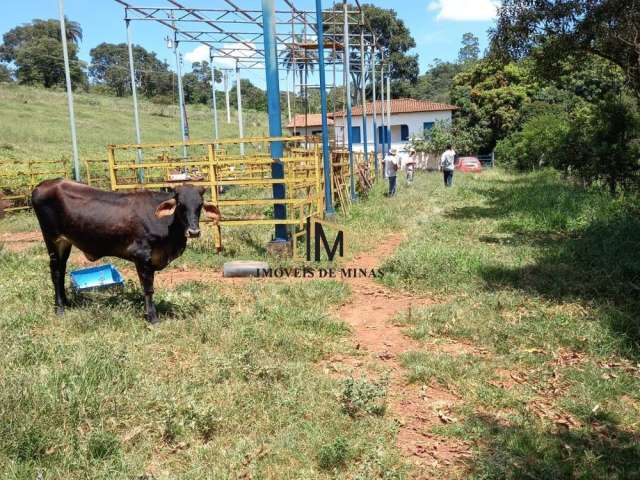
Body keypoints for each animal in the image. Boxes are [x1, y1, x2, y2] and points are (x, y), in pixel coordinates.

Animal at [31, 179, 221, 322]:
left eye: (200, 205)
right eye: (180, 204)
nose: (194, 232)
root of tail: (44, 184)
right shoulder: (141, 256)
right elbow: (148, 288)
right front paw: (152, 317)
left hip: (65, 242)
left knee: (62, 269)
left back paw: (67, 303)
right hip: (52, 239)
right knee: (56, 272)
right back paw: (60, 308)